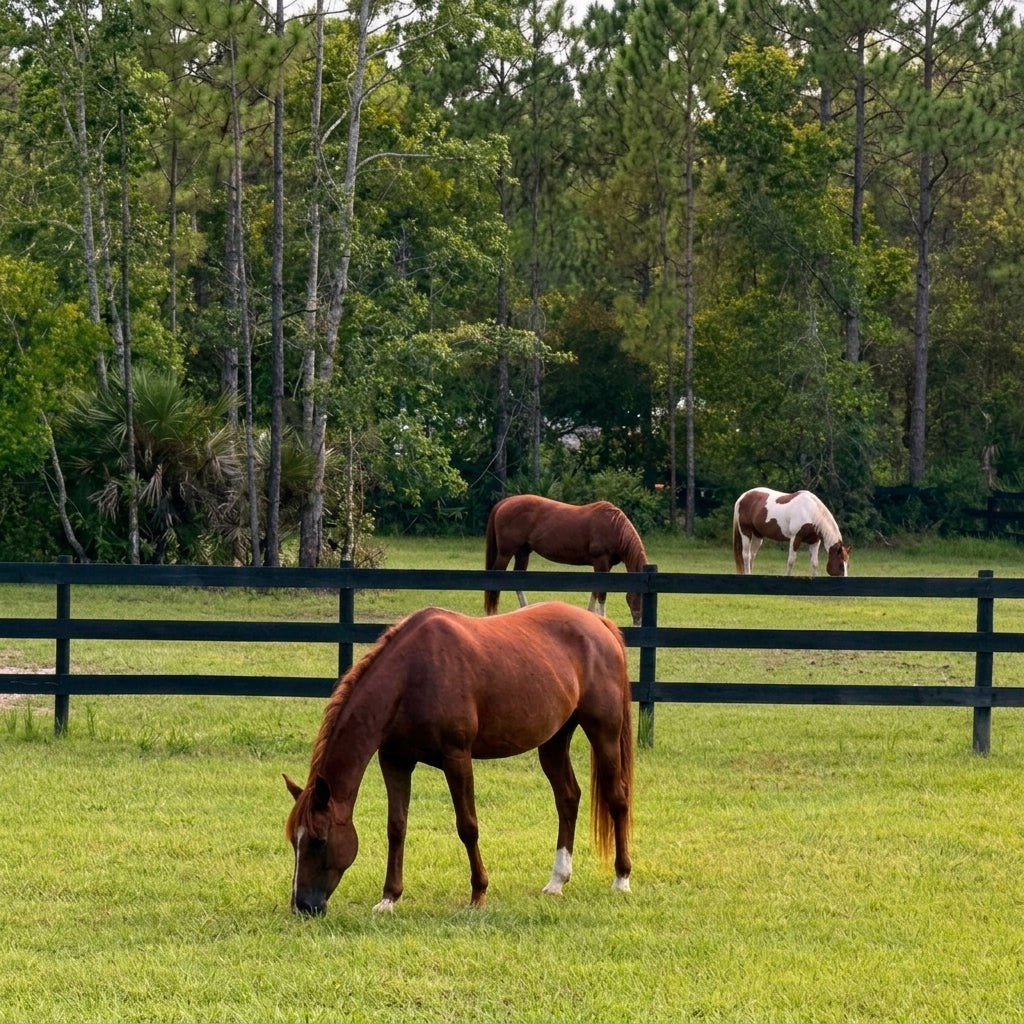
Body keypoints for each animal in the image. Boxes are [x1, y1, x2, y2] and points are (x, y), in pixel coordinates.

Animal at [284, 601, 634, 916]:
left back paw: (622, 879)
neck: (411, 677)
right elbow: (396, 827)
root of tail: (599, 624)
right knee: (567, 798)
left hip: (603, 732)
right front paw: (389, 898)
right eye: (293, 842)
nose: (303, 906)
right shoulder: (394, 760)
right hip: (554, 740)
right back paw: (557, 881)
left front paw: (479, 893)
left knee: (617, 799)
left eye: (319, 840)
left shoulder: (456, 758)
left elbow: (467, 825)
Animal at [483, 495, 648, 626]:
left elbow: (595, 591)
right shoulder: (601, 561)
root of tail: (505, 502)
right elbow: (601, 593)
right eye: (638, 597)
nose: (639, 623)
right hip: (505, 553)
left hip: (523, 552)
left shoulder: (605, 566)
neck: (614, 527)